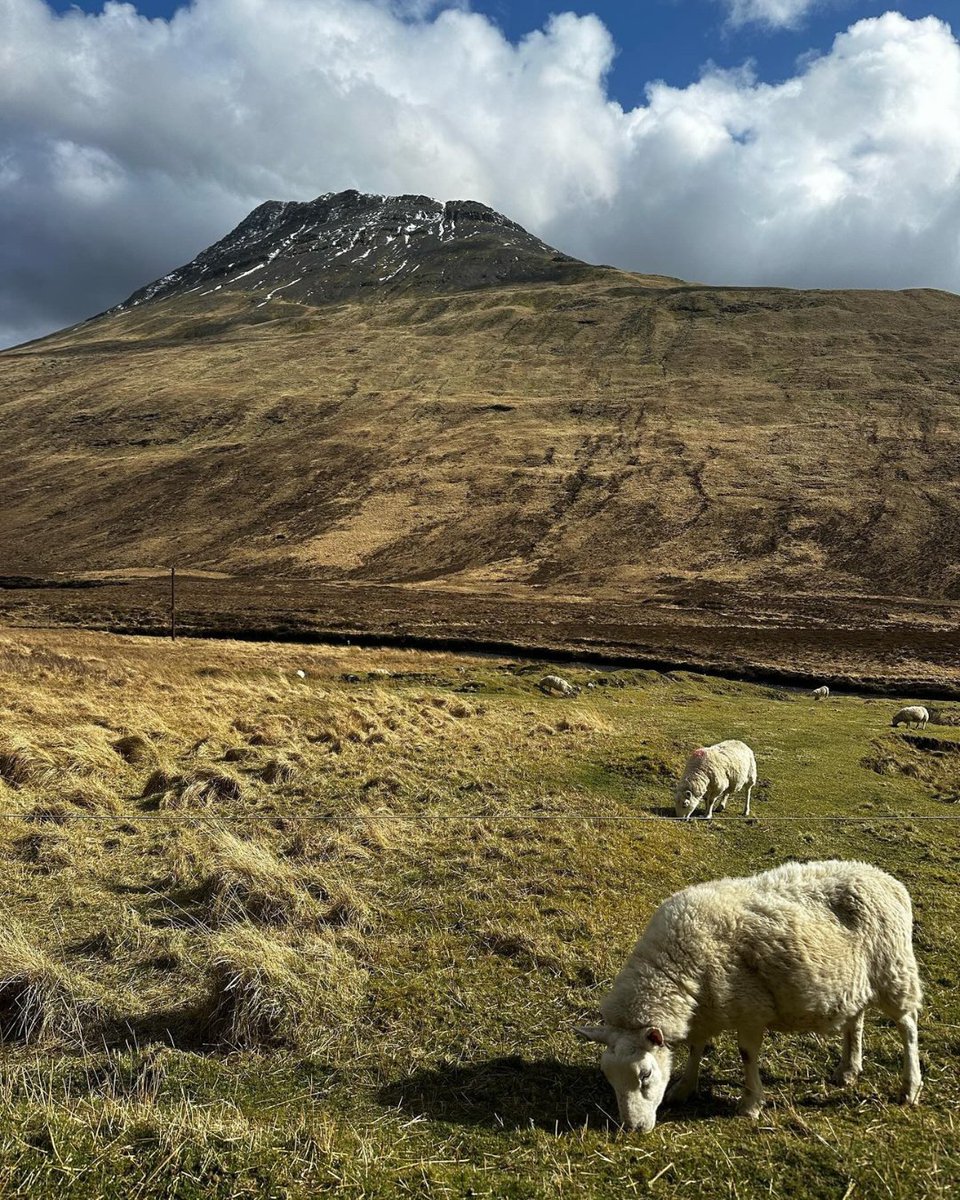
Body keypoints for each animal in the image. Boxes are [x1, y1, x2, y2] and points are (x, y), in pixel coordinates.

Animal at [578, 859, 921, 1128]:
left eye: (645, 1075)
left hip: (893, 971)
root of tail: (887, 880)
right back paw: (848, 1070)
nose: (633, 1128)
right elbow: (695, 1048)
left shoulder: (750, 1010)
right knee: (856, 1019)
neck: (674, 964)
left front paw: (750, 1104)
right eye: (609, 1077)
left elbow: (746, 1055)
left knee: (908, 1027)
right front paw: (684, 1088)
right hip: (855, 980)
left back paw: (910, 1087)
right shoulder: (703, 1009)